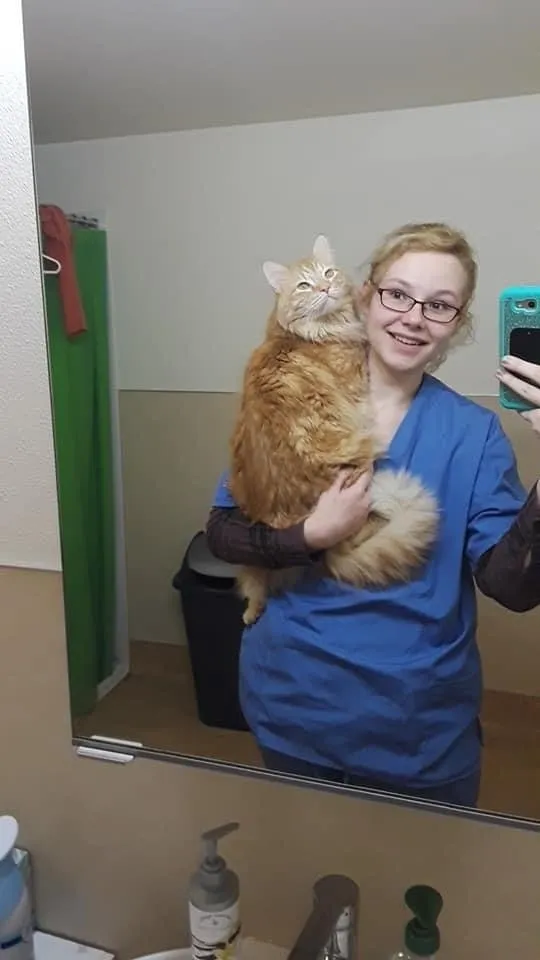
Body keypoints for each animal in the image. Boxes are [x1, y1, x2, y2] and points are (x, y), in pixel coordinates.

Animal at [229, 232, 438, 624]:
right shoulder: (358, 387)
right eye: (304, 285)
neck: (306, 334)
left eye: (327, 273)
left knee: (254, 586)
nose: (325, 288)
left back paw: (252, 612)